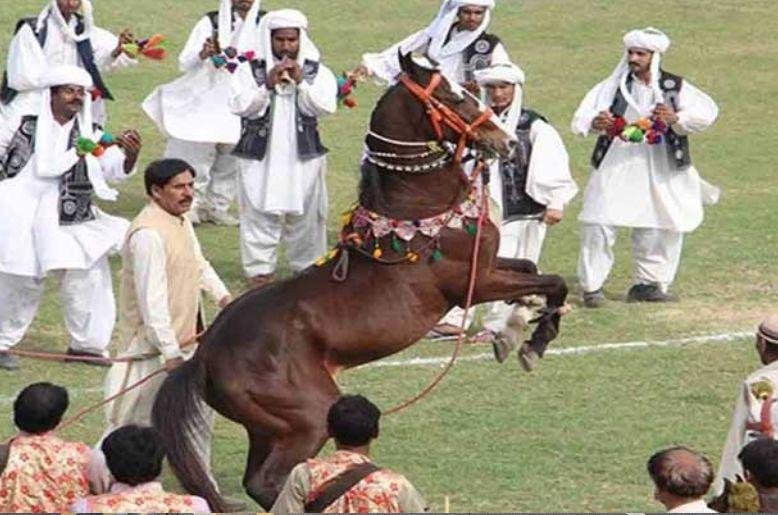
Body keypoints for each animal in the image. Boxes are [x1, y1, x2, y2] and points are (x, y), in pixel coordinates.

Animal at [152, 52, 569, 511]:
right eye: (451, 96)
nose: (506, 142)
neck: (420, 209)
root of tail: (203, 355)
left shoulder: (492, 266)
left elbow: (531, 269)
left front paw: (514, 331)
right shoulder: (473, 283)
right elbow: (554, 281)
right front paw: (532, 342)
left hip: (266, 427)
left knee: (256, 481)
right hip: (309, 416)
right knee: (270, 480)